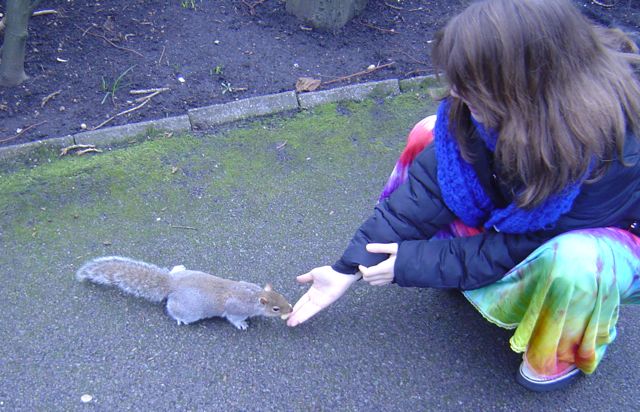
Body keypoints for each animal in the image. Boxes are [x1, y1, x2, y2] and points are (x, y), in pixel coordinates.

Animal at [76, 256, 294, 330]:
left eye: (283, 297)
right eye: (276, 309)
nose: (290, 309)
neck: (252, 295)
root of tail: (172, 284)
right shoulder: (235, 307)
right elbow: (233, 318)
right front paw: (242, 324)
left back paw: (178, 267)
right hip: (190, 311)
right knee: (173, 310)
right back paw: (179, 319)